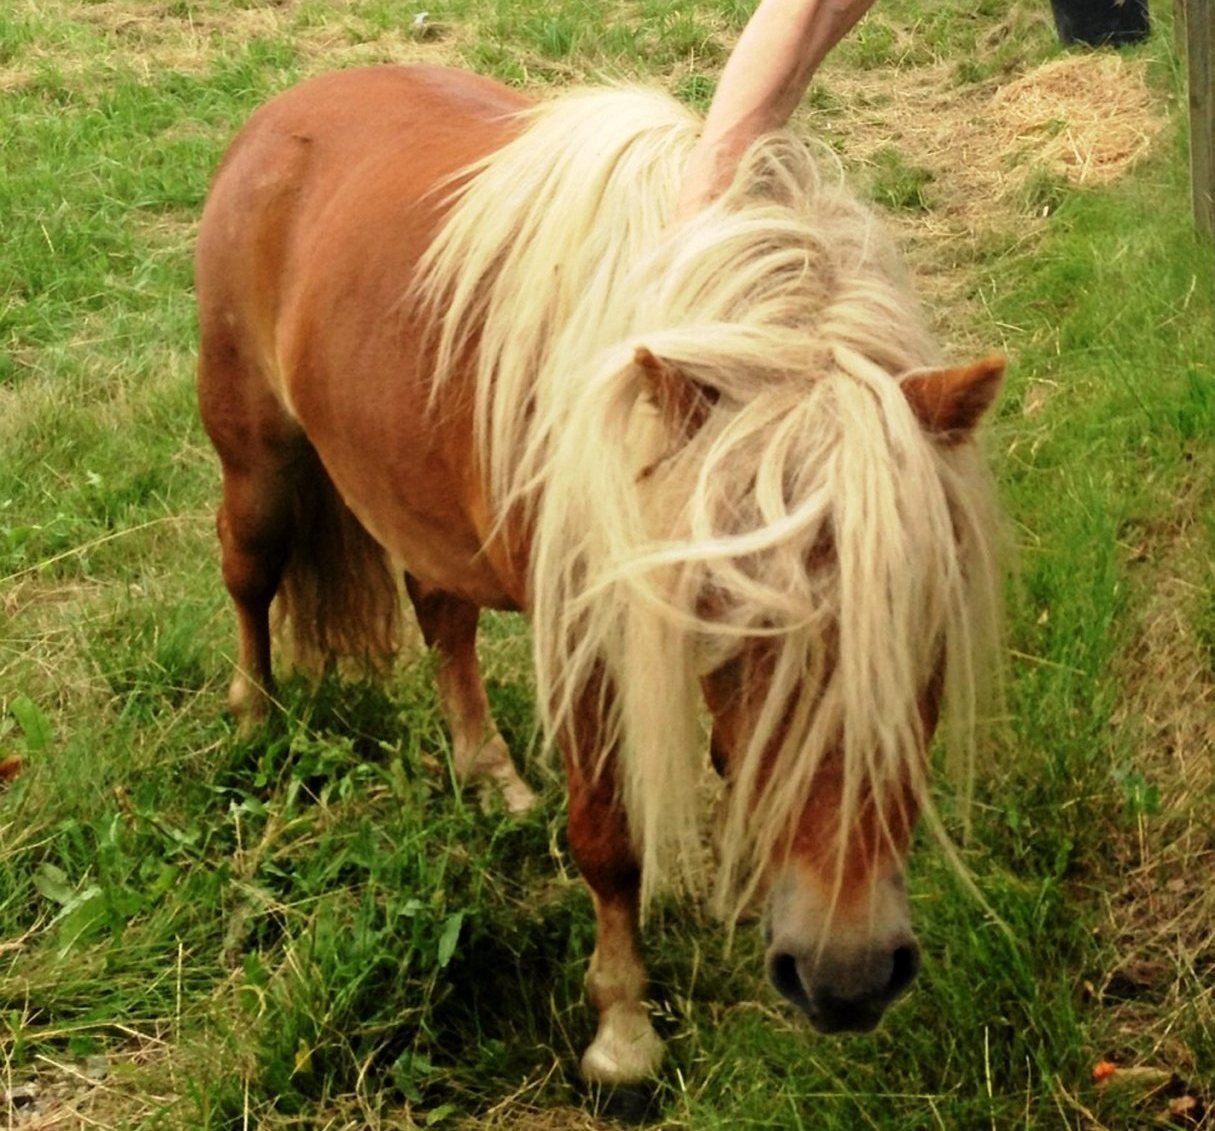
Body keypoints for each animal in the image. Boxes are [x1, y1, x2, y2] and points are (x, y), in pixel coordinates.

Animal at [196, 64, 1003, 1094]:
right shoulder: (585, 645)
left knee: (441, 615)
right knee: (248, 575)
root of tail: (283, 112)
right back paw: (254, 719)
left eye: (924, 621)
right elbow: (608, 843)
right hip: (257, 461)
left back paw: (489, 773)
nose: (847, 972)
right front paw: (623, 1031)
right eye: (738, 621)